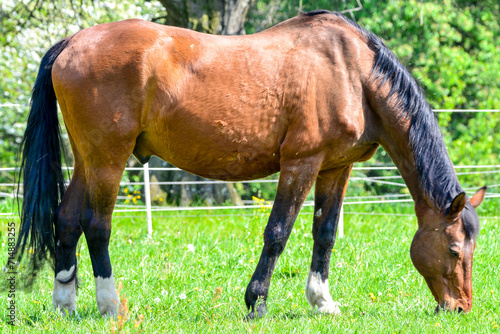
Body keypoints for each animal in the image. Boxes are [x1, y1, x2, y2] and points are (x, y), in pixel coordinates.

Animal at [17, 10, 486, 318]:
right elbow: (277, 233)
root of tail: (70, 43)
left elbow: (325, 234)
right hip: (108, 159)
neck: (353, 73)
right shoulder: (301, 163)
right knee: (96, 226)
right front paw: (256, 301)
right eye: (454, 248)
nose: (460, 308)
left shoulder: (336, 168)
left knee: (66, 221)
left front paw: (322, 301)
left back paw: (65, 306)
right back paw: (111, 305)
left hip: (88, 160)